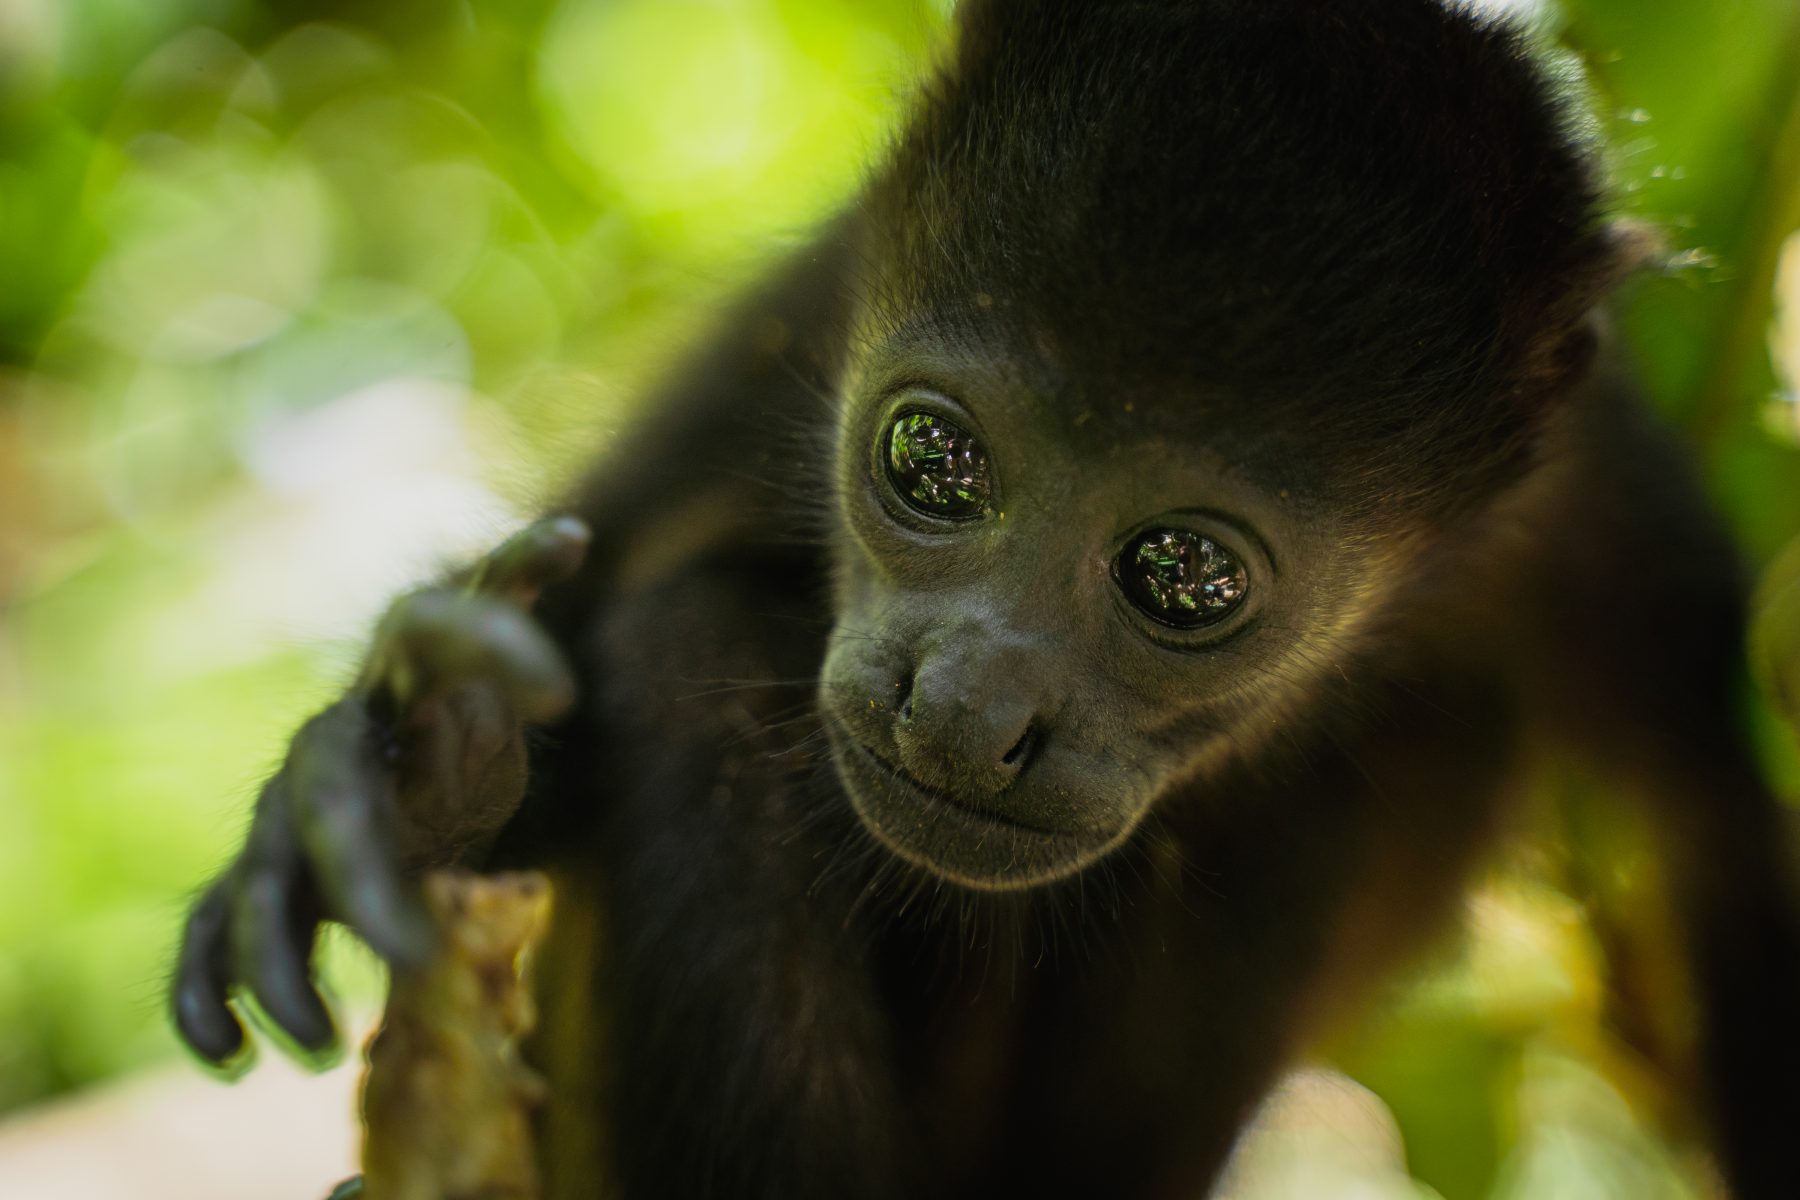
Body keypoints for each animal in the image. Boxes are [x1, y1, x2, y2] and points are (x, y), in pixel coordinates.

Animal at [169, 0, 1800, 1194]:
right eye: (932, 458)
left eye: (1188, 574)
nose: (962, 706)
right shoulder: (806, 319)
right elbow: (594, 588)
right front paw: (415, 774)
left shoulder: (1615, 517)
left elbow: (1723, 858)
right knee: (691, 637)